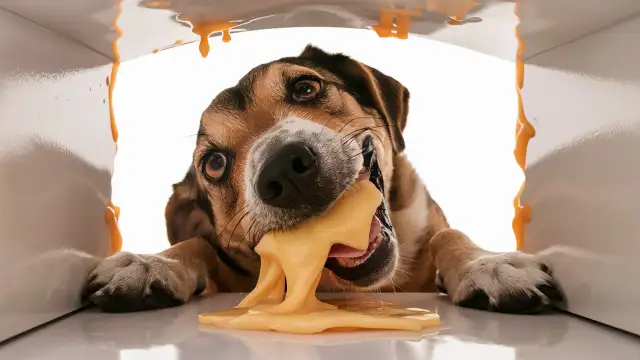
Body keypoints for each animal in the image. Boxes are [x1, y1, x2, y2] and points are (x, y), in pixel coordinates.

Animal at [82, 45, 564, 314]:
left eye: (306, 88)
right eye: (214, 163)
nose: (283, 169)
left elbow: (451, 235)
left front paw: (491, 265)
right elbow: (196, 243)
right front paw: (150, 264)